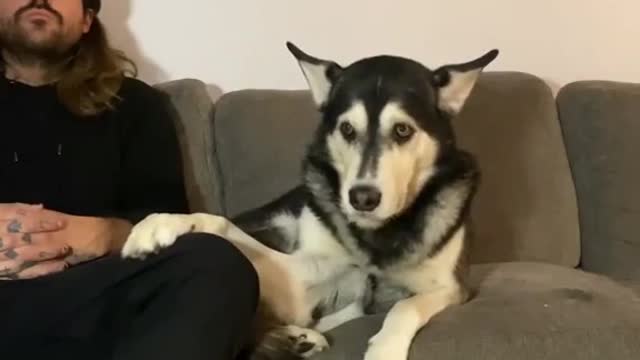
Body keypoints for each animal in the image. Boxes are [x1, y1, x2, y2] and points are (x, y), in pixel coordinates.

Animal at [121, 40, 500, 358]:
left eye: (403, 130)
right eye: (347, 129)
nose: (362, 198)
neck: (374, 239)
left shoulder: (452, 288)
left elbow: (403, 306)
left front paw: (384, 349)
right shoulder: (302, 286)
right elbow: (222, 225)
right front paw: (163, 223)